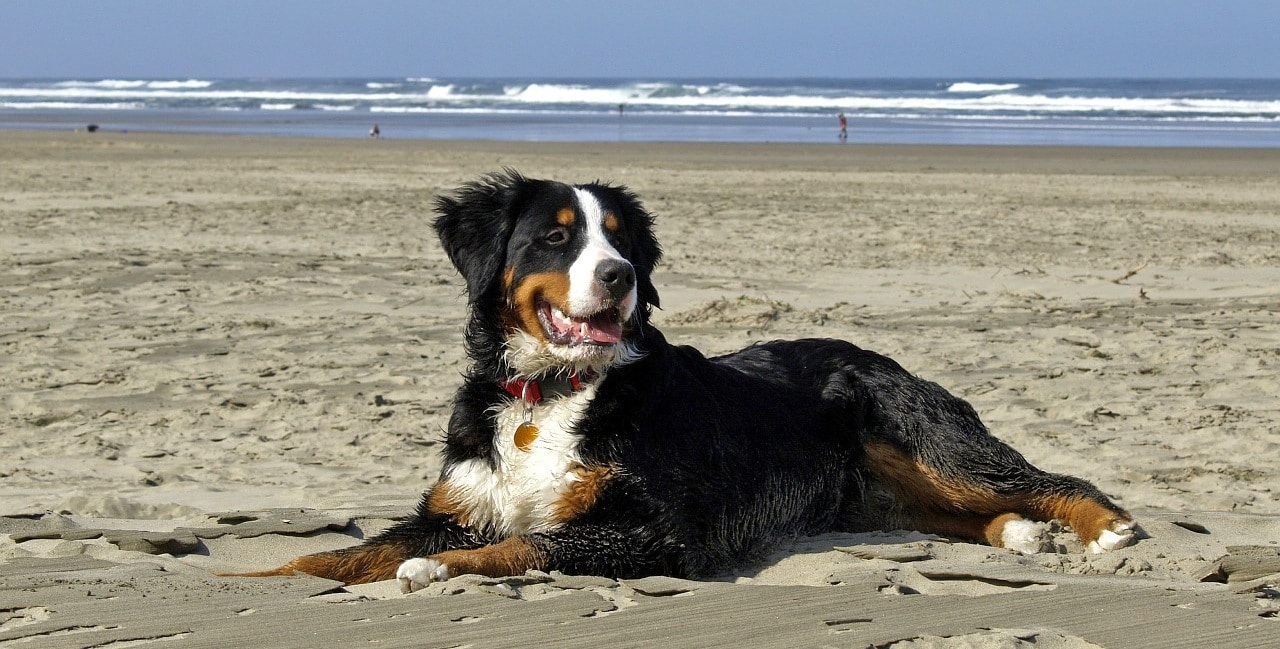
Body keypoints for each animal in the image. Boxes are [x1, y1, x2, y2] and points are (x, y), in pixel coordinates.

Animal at [240, 168, 1141, 593]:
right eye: (556, 238)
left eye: (621, 241)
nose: (619, 277)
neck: (552, 393)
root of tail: (879, 353)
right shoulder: (454, 505)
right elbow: (340, 553)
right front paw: (247, 577)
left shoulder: (656, 529)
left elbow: (527, 542)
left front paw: (442, 571)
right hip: (880, 492)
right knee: (960, 512)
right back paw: (1020, 535)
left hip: (929, 439)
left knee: (1048, 477)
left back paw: (1105, 528)